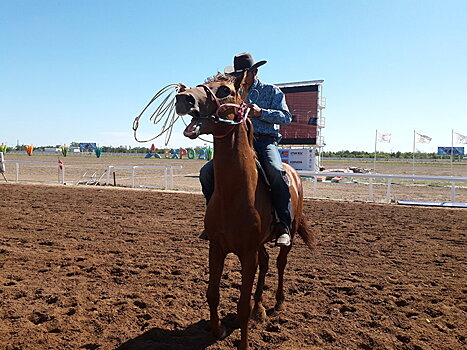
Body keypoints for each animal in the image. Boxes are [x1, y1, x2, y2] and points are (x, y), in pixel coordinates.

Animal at [176, 72, 314, 348]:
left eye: (224, 90)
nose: (183, 98)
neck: (236, 193)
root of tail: (293, 173)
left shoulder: (247, 254)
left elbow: (241, 305)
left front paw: (244, 343)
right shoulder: (217, 249)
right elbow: (212, 293)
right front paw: (217, 330)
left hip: (290, 235)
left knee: (280, 263)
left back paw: (277, 302)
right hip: (259, 245)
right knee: (266, 261)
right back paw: (260, 308)